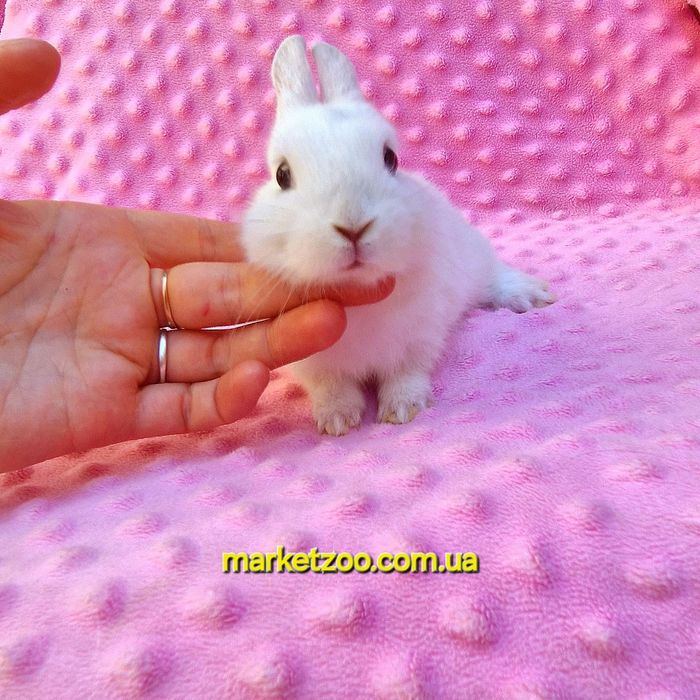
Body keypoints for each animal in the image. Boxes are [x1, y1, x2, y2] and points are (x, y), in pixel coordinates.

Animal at [241, 35, 555, 436]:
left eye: (390, 158)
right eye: (282, 175)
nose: (353, 225)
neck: (357, 297)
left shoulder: (419, 336)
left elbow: (407, 374)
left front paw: (403, 409)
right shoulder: (314, 363)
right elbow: (332, 387)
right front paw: (337, 420)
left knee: (492, 279)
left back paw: (531, 294)